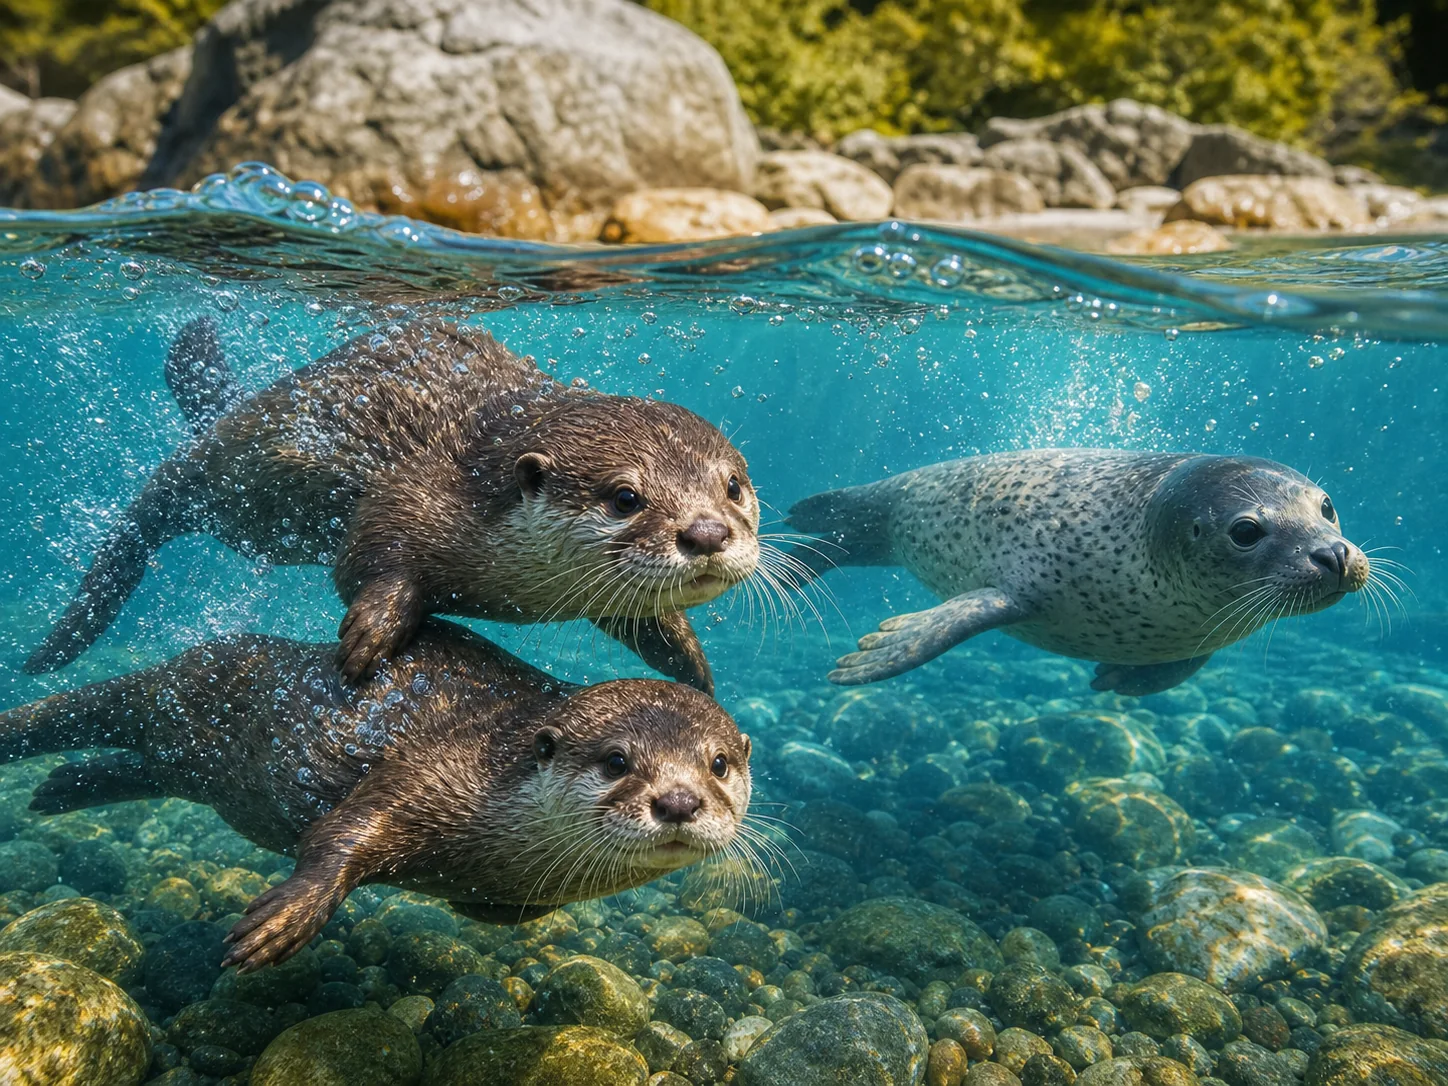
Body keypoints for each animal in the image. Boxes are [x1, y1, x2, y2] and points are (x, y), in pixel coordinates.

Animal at [0, 620, 752, 971]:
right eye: (616, 761)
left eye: (717, 764)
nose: (679, 802)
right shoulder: (429, 773)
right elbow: (340, 833)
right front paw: (279, 922)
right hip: (194, 686)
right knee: (93, 709)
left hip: (190, 756)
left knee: (137, 766)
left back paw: (58, 789)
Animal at [25, 318, 759, 692]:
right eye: (626, 497)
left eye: (732, 486)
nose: (706, 533)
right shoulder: (412, 494)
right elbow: (368, 562)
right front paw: (368, 638)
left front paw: (694, 668)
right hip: (224, 475)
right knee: (145, 512)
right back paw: (59, 643)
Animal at [790, 449, 1372, 694]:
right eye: (1246, 531)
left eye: (1326, 506)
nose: (1333, 554)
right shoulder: (1019, 579)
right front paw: (877, 650)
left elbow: (1177, 664)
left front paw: (1120, 678)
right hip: (882, 511)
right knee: (844, 515)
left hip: (871, 534)